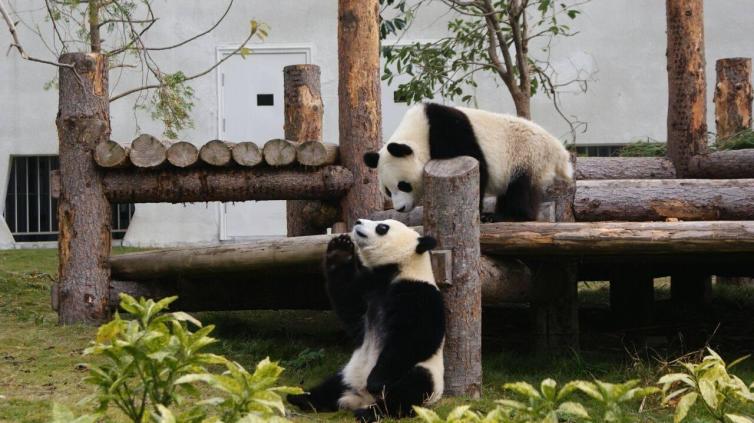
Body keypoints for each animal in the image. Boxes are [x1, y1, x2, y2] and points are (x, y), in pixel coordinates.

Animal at [286, 220, 440, 422]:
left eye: (382, 227)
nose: (358, 221)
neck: (397, 269)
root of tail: (361, 398)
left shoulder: (419, 294)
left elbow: (415, 337)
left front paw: (376, 381)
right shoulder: (369, 288)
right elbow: (347, 301)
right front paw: (340, 249)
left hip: (423, 376)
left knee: (409, 390)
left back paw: (370, 412)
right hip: (350, 371)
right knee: (331, 385)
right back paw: (302, 398)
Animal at [362, 103, 568, 222]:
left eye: (403, 185)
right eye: (388, 191)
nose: (400, 208)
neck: (420, 131)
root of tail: (558, 149)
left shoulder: (450, 132)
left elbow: (480, 168)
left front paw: (476, 212)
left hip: (527, 156)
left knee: (520, 189)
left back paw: (507, 216)